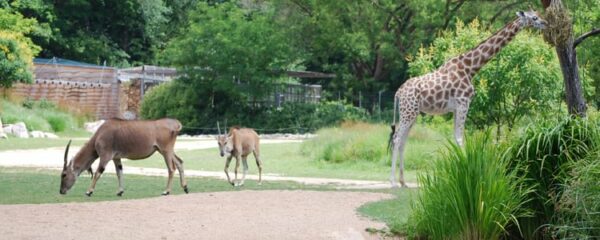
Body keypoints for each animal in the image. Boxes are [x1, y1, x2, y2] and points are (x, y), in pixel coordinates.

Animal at [59, 117, 189, 195]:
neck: (99, 134)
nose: (61, 191)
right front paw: (120, 191)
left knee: (171, 168)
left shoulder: (105, 156)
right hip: (167, 151)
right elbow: (119, 172)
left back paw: (166, 191)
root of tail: (176, 124)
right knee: (180, 162)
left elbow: (97, 173)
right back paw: (185, 187)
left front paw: (89, 191)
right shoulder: (116, 158)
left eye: (64, 174)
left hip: (165, 151)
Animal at [390, 10, 548, 188]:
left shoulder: (456, 107)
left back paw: (403, 182)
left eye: (537, 14)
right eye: (534, 17)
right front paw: (467, 172)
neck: (471, 68)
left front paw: (459, 171)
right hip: (408, 112)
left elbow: (456, 137)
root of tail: (398, 92)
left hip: (413, 113)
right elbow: (460, 138)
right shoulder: (463, 102)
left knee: (403, 141)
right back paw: (393, 182)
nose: (546, 23)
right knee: (397, 139)